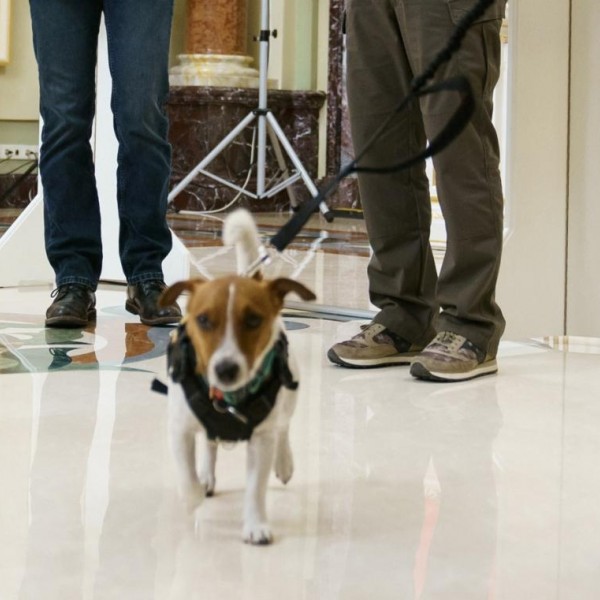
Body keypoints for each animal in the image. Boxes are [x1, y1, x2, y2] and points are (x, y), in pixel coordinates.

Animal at [159, 210, 318, 544]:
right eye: (203, 320)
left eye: (254, 320)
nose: (225, 369)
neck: (226, 399)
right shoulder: (179, 430)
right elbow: (187, 476)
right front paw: (193, 494)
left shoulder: (261, 440)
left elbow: (255, 489)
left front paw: (256, 525)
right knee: (209, 445)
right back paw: (206, 475)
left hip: (289, 392)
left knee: (283, 427)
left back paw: (284, 462)